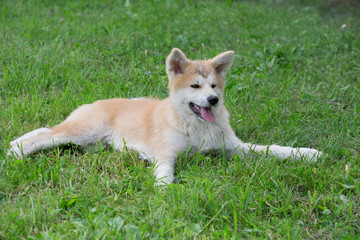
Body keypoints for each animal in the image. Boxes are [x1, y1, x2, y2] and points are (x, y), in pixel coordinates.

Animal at [7, 47, 322, 185]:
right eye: (195, 86)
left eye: (214, 86)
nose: (213, 100)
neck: (196, 127)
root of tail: (94, 103)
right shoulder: (165, 153)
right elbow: (165, 175)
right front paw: (167, 196)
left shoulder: (234, 147)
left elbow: (272, 149)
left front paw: (306, 154)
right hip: (83, 131)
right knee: (44, 136)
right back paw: (16, 152)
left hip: (86, 141)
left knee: (46, 130)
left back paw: (15, 144)